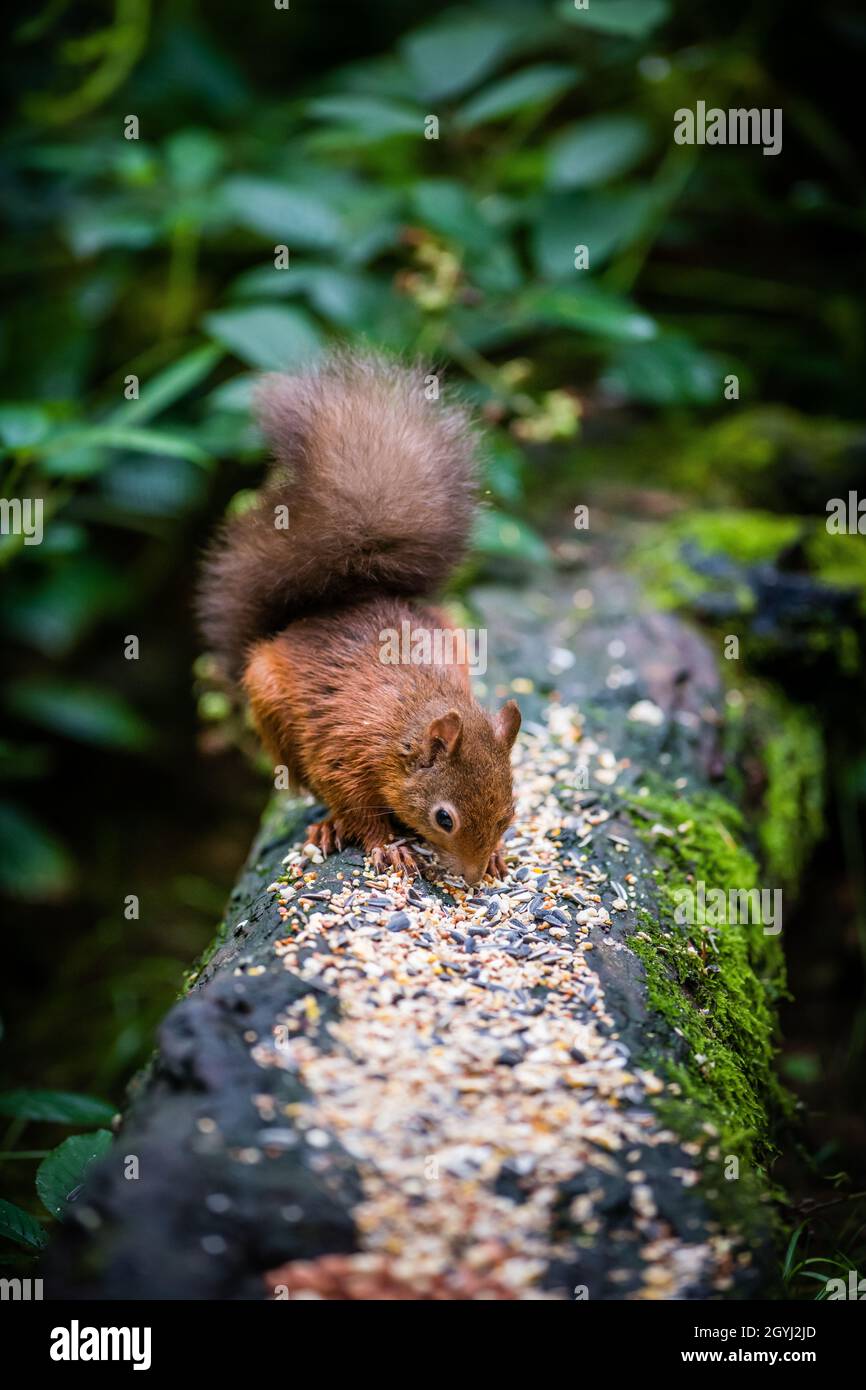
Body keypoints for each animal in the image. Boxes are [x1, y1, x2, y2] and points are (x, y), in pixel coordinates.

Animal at [197, 350, 521, 885]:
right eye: (444, 819)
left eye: (509, 812)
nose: (472, 878)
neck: (408, 722)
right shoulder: (343, 755)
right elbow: (356, 806)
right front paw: (386, 846)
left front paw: (496, 856)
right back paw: (328, 826)